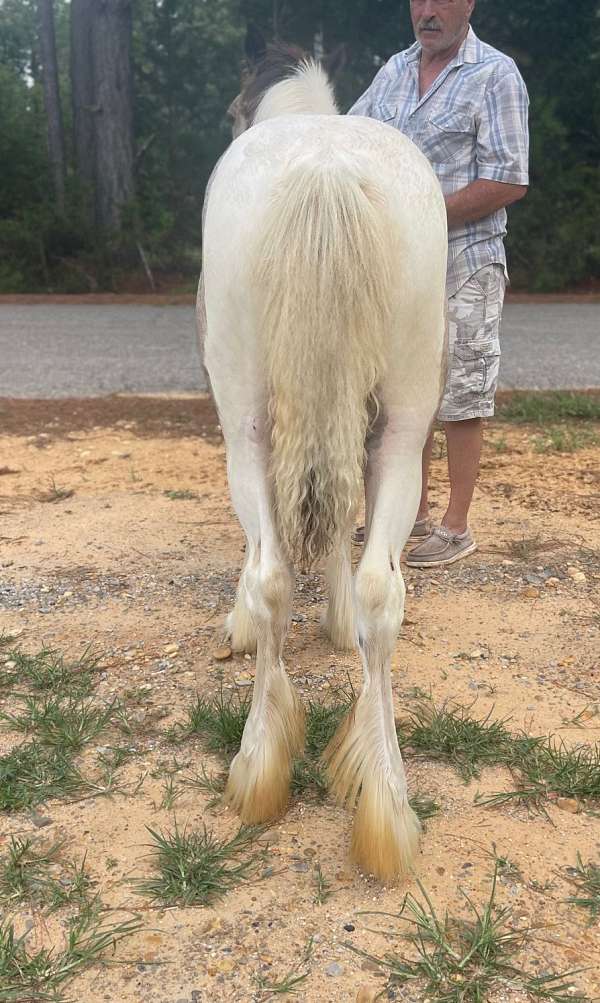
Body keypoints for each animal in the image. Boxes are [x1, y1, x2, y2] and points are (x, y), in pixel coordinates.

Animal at [199, 33, 449, 878]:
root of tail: (326, 167)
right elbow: (342, 519)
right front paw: (338, 621)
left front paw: (240, 625)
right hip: (405, 414)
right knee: (382, 586)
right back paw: (387, 804)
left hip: (243, 412)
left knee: (272, 572)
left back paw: (256, 769)